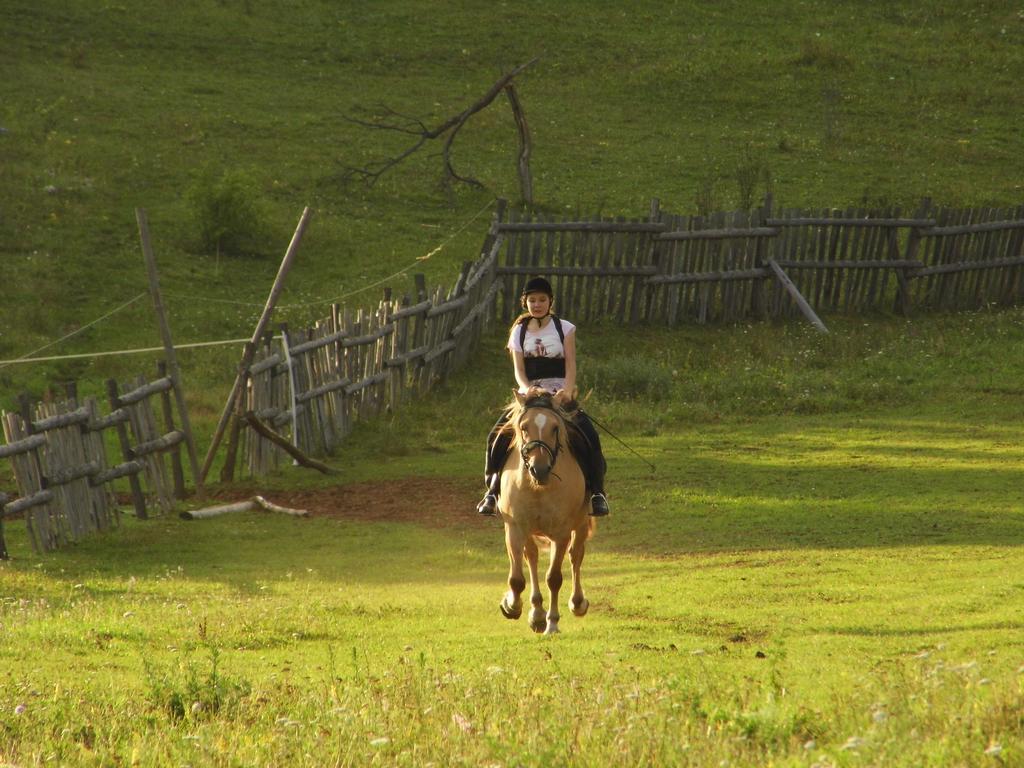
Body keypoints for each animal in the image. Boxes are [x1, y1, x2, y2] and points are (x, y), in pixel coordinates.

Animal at [495, 391, 593, 638]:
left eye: (555, 428)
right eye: (524, 427)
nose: (539, 469)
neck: (537, 487)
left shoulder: (561, 533)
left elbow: (554, 578)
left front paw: (553, 623)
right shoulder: (515, 529)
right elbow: (517, 579)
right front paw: (512, 606)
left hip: (580, 524)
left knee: (576, 556)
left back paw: (577, 603)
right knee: (531, 557)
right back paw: (537, 613)